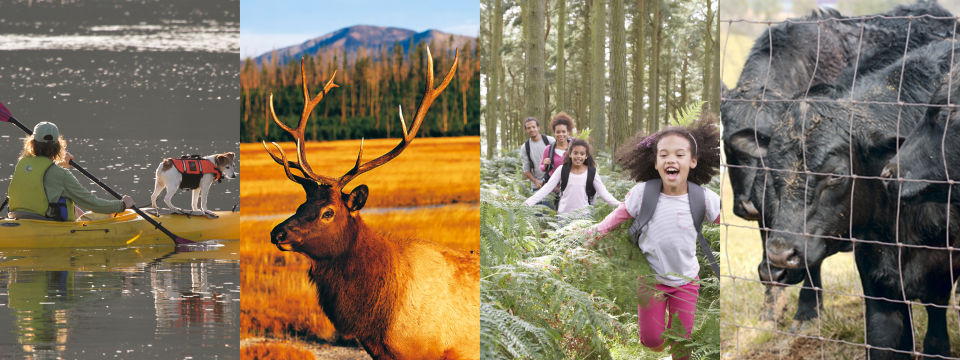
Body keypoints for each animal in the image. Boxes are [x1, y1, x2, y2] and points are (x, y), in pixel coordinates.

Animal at [768, 40, 960, 360]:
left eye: (836, 175)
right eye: (770, 170)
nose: (780, 254)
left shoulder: (941, 276)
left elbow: (936, 342)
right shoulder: (877, 281)